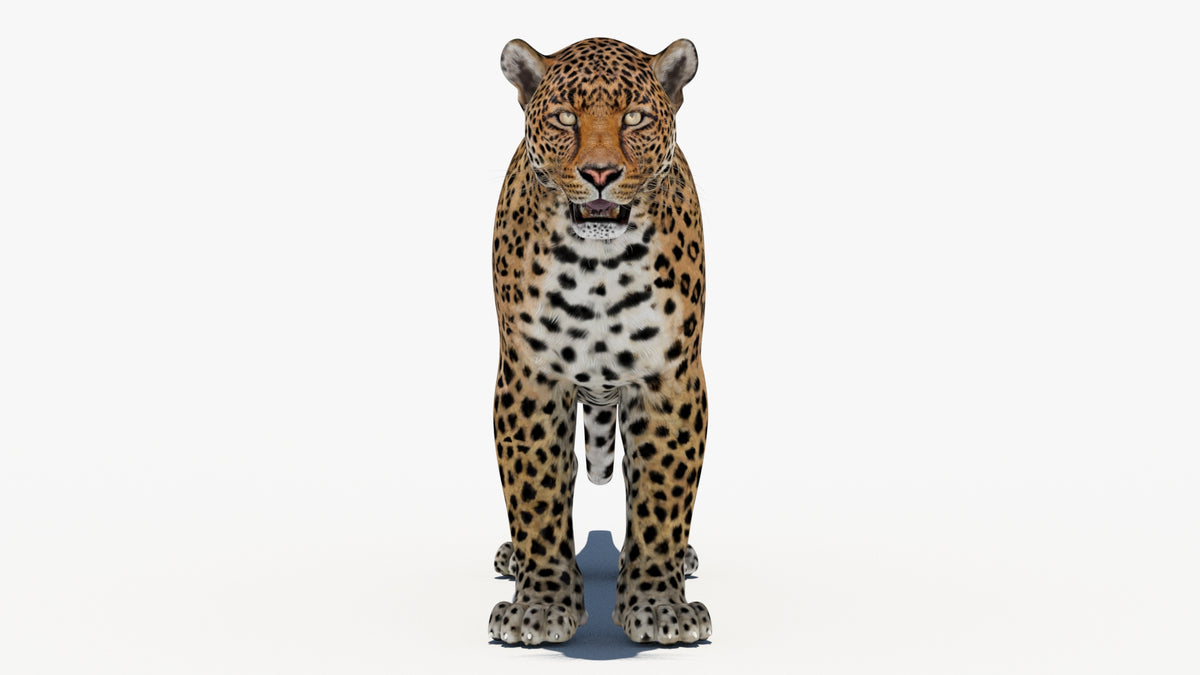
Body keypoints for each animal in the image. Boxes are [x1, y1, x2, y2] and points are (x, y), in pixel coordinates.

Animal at [488, 37, 711, 646]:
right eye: (566, 117)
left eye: (634, 118)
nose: (600, 173)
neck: (598, 266)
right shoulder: (531, 379)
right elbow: (537, 495)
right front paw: (540, 606)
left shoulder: (669, 379)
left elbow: (661, 497)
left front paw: (659, 605)